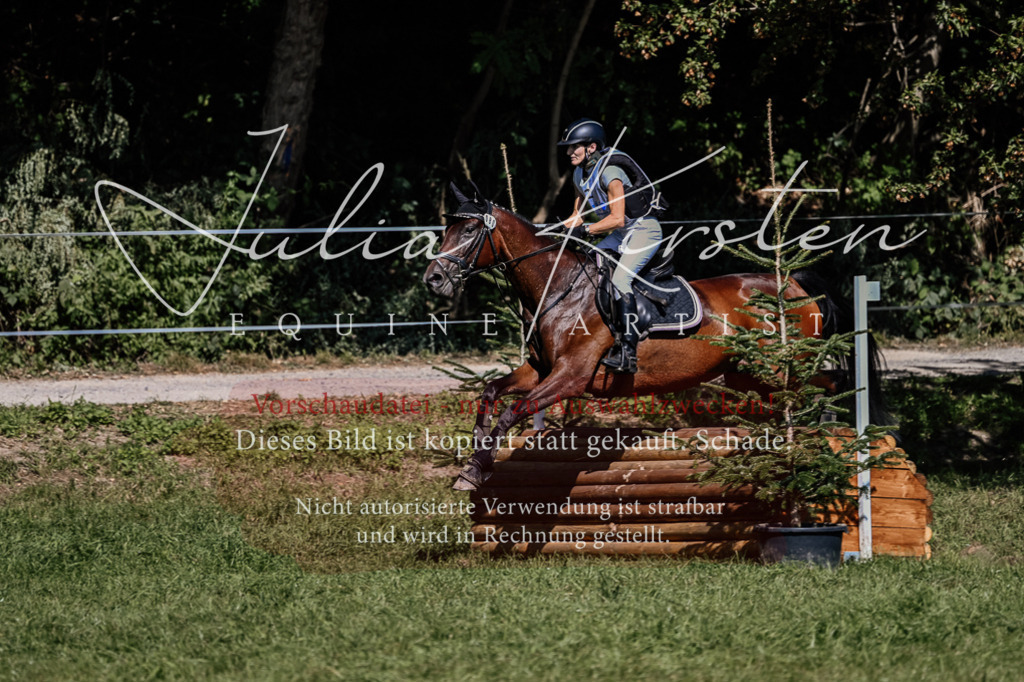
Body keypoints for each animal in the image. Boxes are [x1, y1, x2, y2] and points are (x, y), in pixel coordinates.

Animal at [423, 184, 889, 491]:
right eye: (447, 231)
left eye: (469, 232)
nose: (433, 279)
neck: (559, 288)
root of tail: (792, 283)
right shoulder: (540, 371)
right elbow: (489, 394)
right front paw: (474, 464)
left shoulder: (570, 376)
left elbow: (510, 412)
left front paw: (474, 472)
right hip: (748, 374)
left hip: (776, 367)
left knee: (830, 382)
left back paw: (830, 431)